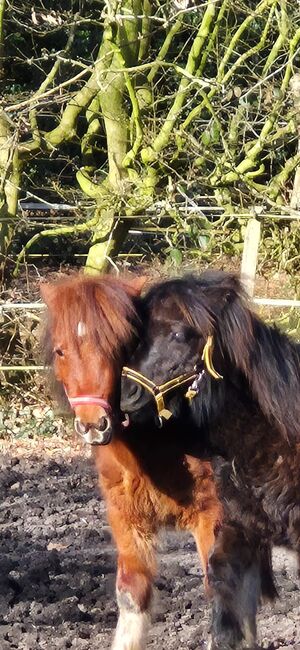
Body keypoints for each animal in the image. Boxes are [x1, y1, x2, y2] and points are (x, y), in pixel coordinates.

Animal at [41, 274, 221, 648]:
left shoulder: (211, 517)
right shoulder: (127, 518)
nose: (93, 425)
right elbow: (132, 594)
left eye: (120, 346)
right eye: (61, 350)